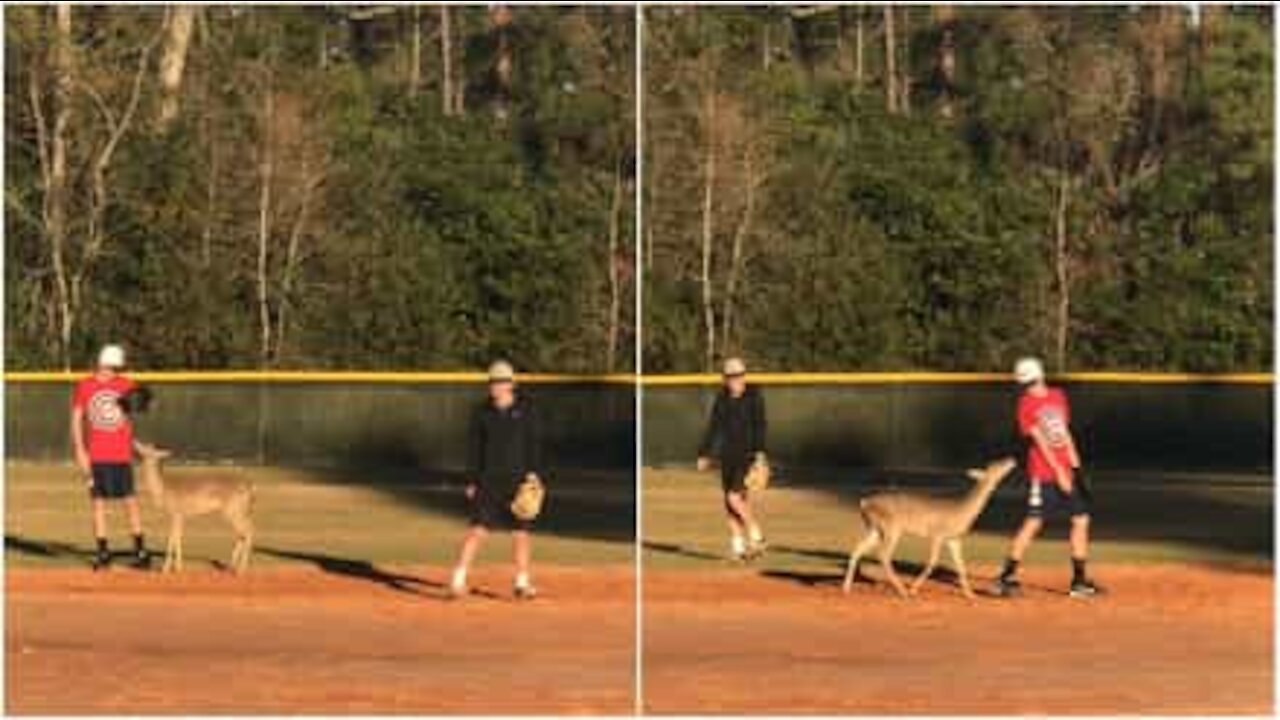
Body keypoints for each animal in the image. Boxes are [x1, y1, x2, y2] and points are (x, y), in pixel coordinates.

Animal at [135, 438, 254, 571]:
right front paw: (179, 567)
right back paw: (232, 566)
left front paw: (165, 569)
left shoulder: (175, 513)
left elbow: (171, 538)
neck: (163, 488)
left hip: (233, 510)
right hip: (242, 511)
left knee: (247, 532)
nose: (135, 442)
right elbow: (178, 538)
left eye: (148, 447)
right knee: (244, 532)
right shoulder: (181, 516)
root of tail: (250, 487)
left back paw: (241, 569)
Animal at [839, 456, 1018, 597]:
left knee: (857, 550)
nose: (1011, 459)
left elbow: (961, 567)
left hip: (874, 529)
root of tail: (864, 502)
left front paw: (971, 595)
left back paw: (846, 588)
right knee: (883, 555)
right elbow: (932, 563)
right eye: (995, 465)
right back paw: (903, 591)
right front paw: (913, 589)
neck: (962, 513)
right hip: (892, 528)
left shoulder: (954, 539)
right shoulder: (937, 535)